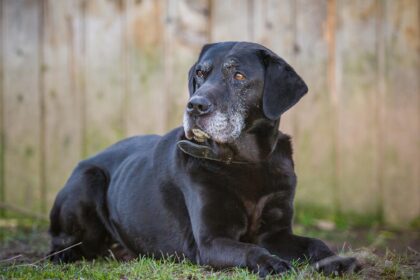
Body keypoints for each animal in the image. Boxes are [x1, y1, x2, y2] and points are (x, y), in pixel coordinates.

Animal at [48, 42, 358, 278]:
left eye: (239, 76)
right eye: (200, 73)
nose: (195, 105)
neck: (247, 161)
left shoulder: (276, 233)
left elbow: (315, 242)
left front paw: (337, 261)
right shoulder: (210, 241)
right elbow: (251, 249)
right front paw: (271, 263)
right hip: (88, 180)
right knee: (60, 246)